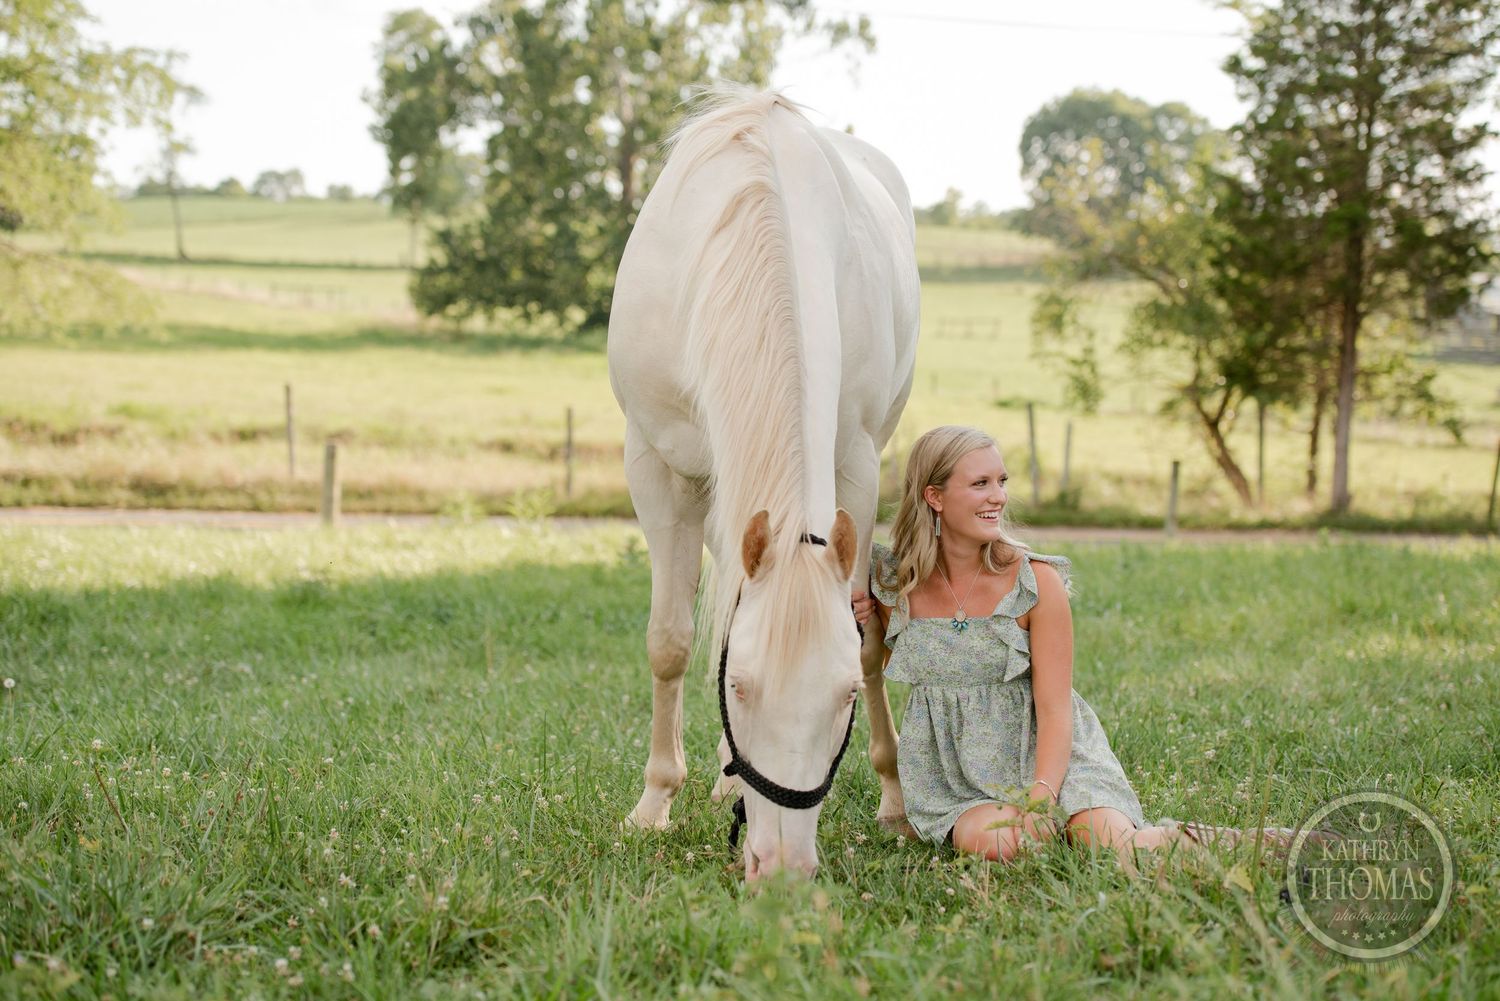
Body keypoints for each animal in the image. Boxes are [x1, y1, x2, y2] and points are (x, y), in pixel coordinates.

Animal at [607, 86, 920, 878]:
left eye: (843, 697)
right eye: (739, 688)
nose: (782, 869)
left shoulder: (856, 469)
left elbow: (868, 638)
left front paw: (896, 800)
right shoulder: (656, 467)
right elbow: (671, 640)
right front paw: (653, 803)